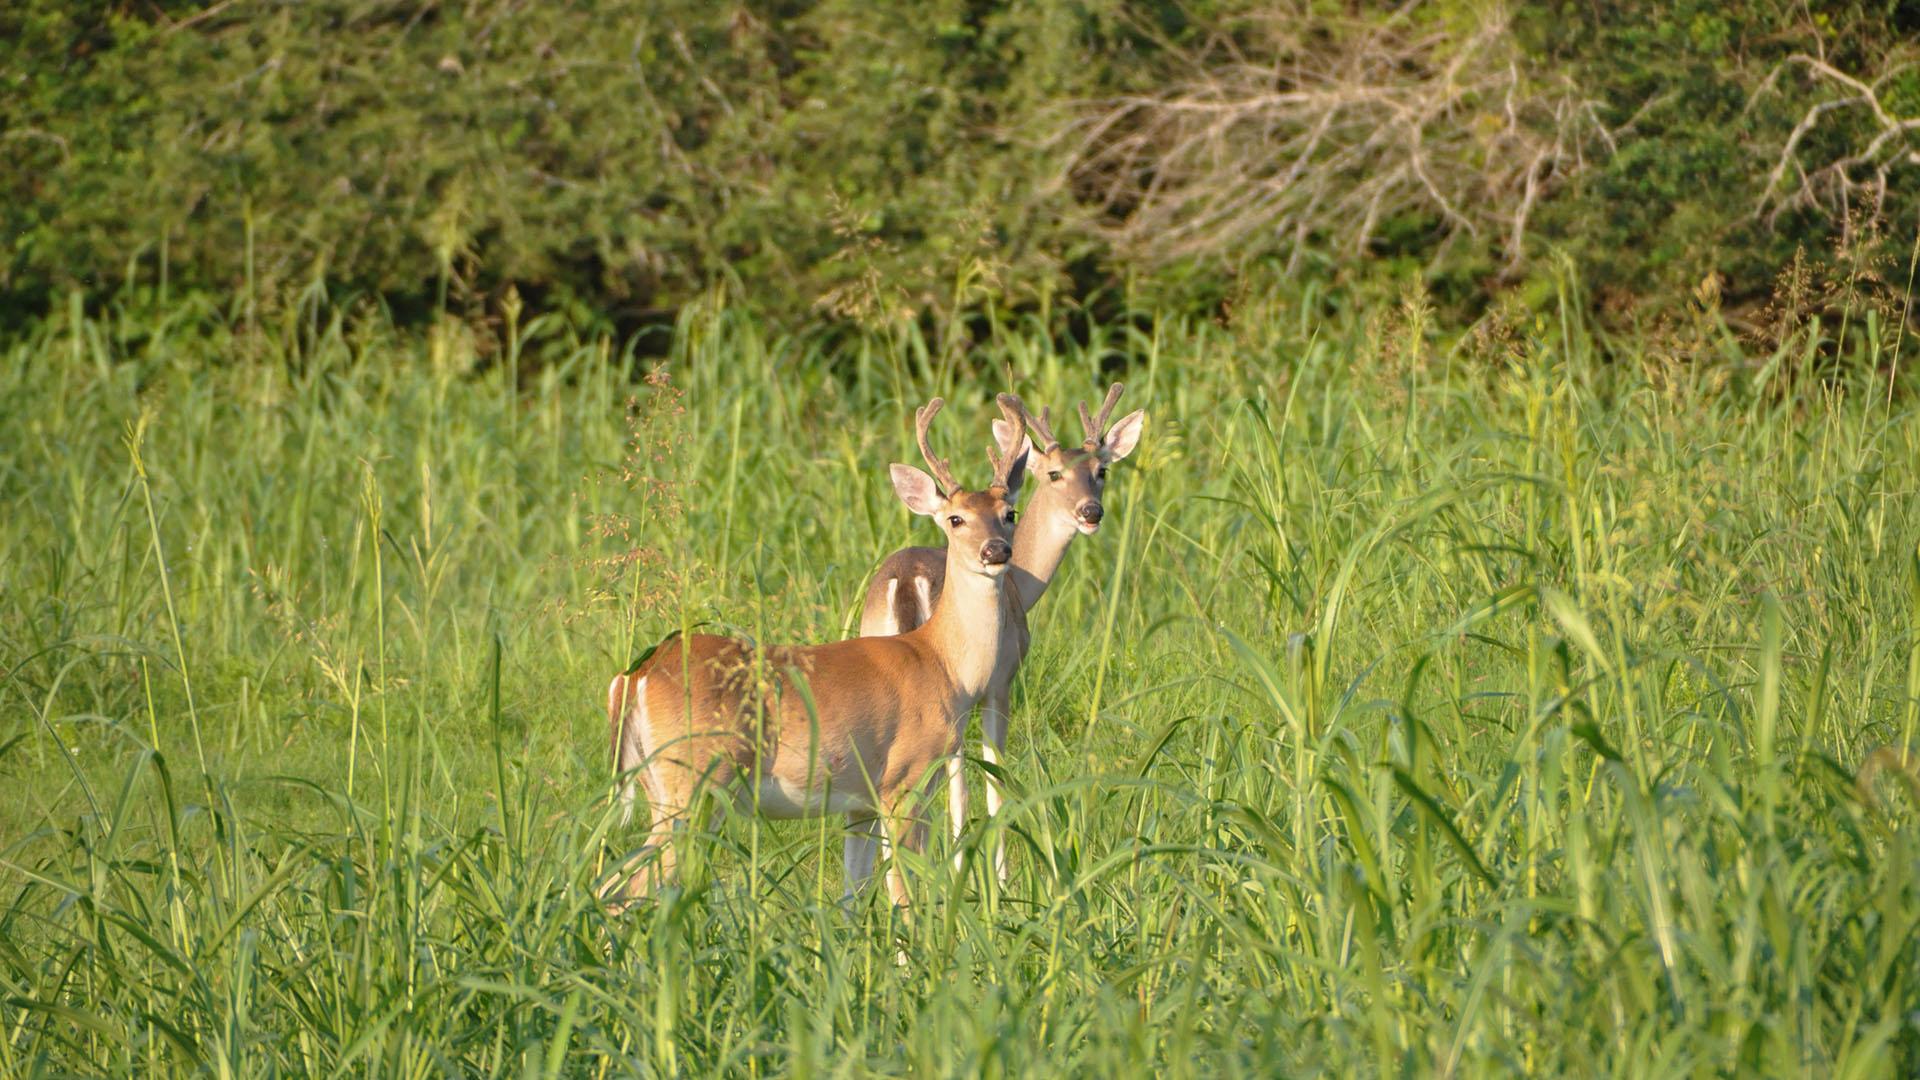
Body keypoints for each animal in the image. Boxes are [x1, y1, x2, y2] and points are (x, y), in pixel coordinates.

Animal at [599, 390, 1029, 903]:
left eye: (1009, 513)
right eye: (955, 518)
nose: (995, 551)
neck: (943, 665)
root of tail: (635, 677)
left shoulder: (860, 803)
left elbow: (852, 894)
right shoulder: (904, 778)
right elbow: (904, 895)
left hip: (658, 785)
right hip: (694, 782)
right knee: (627, 888)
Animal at [864, 382, 1144, 880]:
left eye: (1101, 469)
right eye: (1054, 473)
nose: (1091, 511)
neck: (1021, 586)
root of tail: (905, 582)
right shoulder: (999, 682)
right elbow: (990, 780)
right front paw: (995, 875)